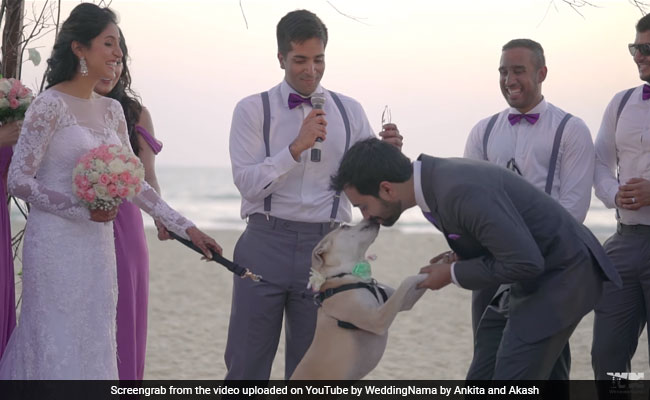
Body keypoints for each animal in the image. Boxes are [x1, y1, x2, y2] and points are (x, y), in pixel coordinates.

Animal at [288, 219, 426, 378]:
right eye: (345, 226)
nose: (371, 218)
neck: (347, 276)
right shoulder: (378, 319)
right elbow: (407, 282)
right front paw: (425, 274)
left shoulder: (405, 302)